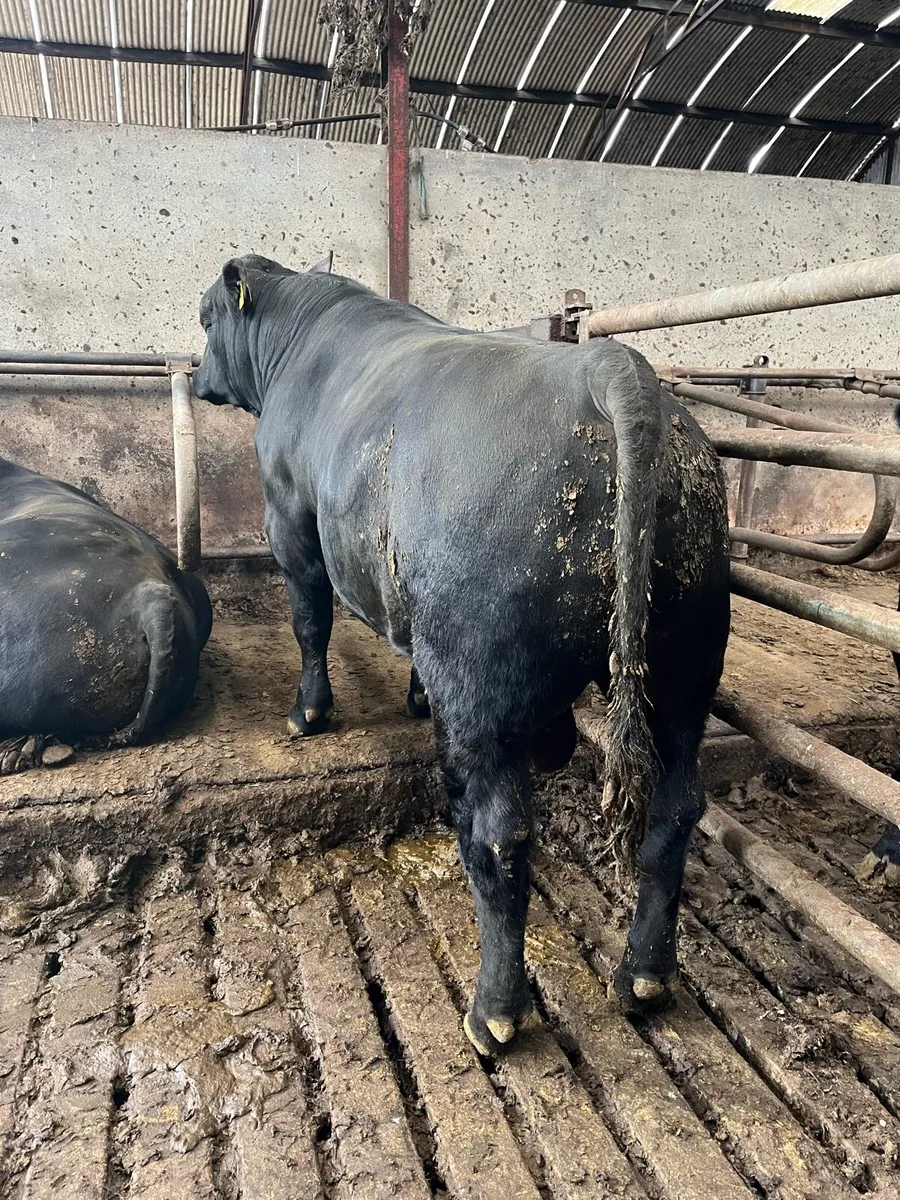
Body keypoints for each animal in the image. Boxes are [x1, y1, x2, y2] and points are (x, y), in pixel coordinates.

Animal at [193, 254, 730, 1055]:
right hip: (686, 665)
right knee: (676, 807)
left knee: (500, 834)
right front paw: (414, 697)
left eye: (205, 317)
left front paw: (308, 713)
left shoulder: (289, 516)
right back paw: (644, 976)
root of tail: (608, 367)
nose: (197, 376)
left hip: (486, 685)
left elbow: (309, 621)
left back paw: (494, 1012)